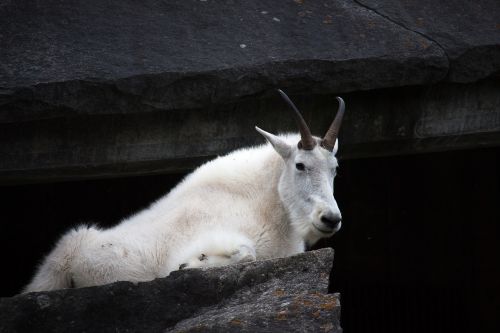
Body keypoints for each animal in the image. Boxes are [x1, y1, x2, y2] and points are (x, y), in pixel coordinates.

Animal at [22, 89, 344, 292]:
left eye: (335, 168)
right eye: (300, 165)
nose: (330, 219)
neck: (269, 209)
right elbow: (246, 253)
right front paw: (190, 265)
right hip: (56, 267)